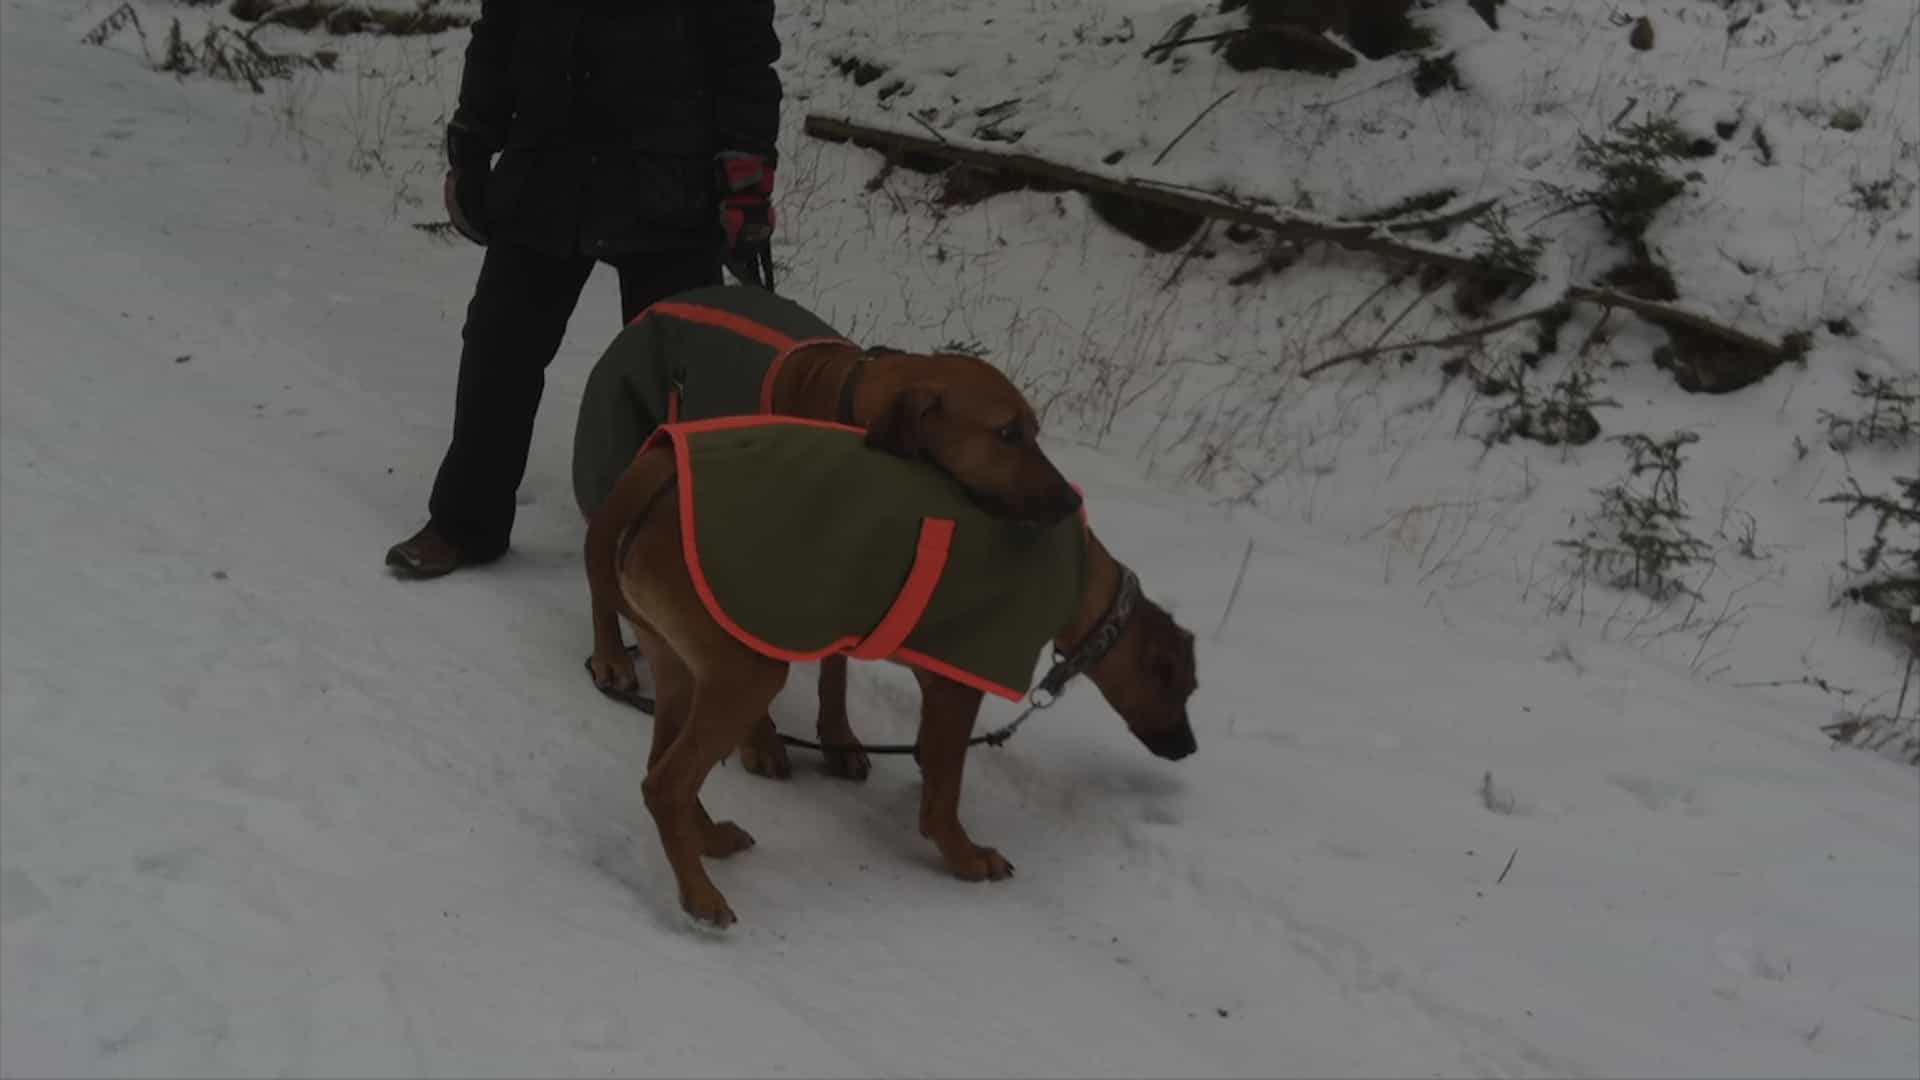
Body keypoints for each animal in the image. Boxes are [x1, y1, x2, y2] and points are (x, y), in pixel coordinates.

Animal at [583, 418, 1190, 926]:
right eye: (1182, 689)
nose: (1188, 747)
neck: (1085, 585)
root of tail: (651, 485)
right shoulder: (959, 682)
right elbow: (944, 794)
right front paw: (964, 856)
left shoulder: (935, 673)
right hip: (745, 674)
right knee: (666, 784)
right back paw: (700, 893)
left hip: (681, 667)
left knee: (662, 769)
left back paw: (707, 839)